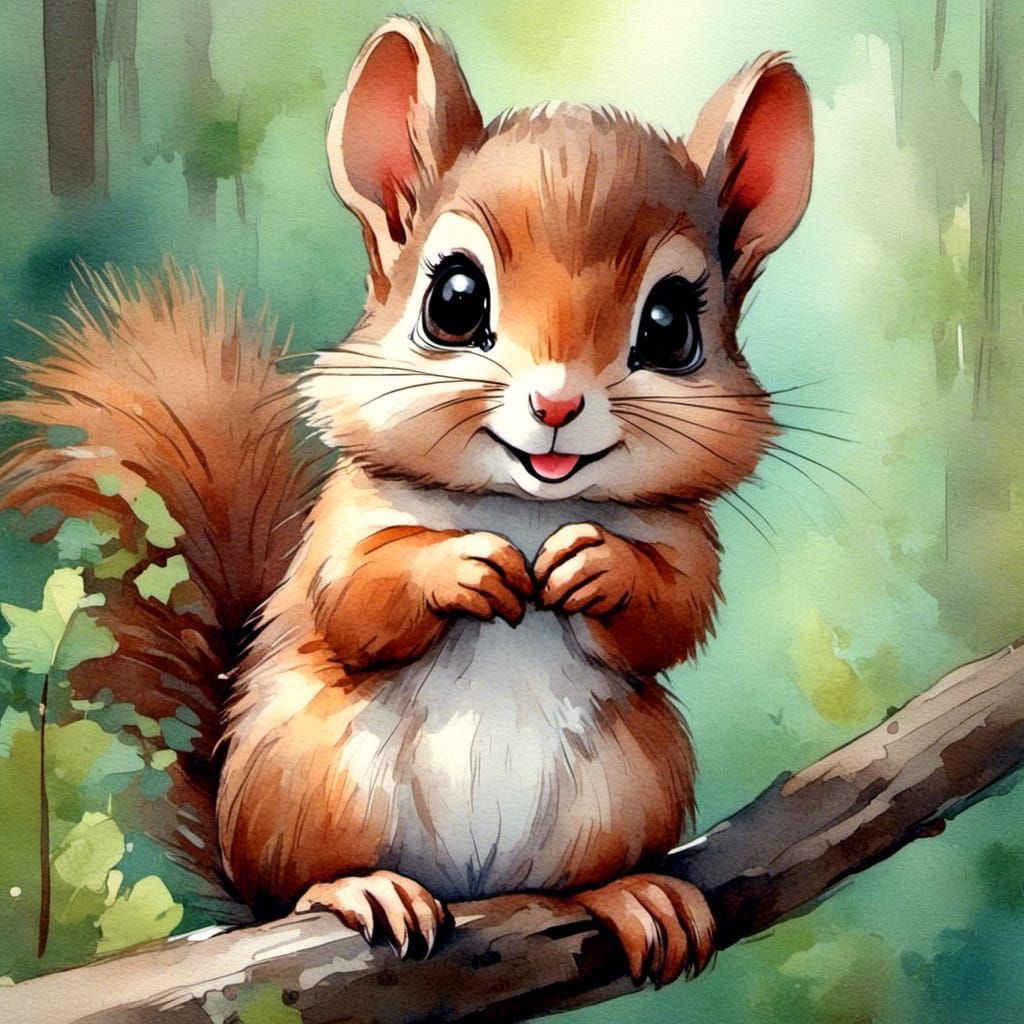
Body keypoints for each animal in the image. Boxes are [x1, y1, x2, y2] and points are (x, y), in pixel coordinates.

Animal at [0, 18, 812, 986]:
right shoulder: (344, 522)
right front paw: (460, 565)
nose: (557, 405)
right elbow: (354, 598)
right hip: (304, 781)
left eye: (670, 327)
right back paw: (361, 890)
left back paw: (629, 891)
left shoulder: (689, 540)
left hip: (632, 782)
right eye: (454, 299)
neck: (525, 505)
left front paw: (601, 565)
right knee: (290, 885)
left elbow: (674, 615)